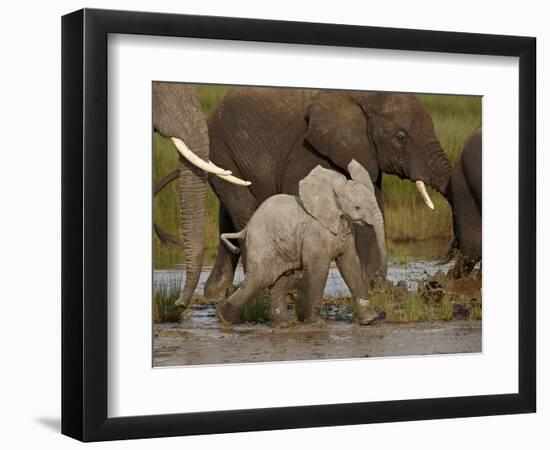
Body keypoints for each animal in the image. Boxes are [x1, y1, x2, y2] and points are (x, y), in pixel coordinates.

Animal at [203, 87, 452, 298]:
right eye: (401, 138)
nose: (442, 269)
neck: (364, 95)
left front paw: (373, 286)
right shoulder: (306, 149)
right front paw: (299, 288)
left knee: (228, 217)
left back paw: (215, 292)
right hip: (222, 149)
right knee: (244, 211)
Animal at [217, 161, 388, 326]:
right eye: (357, 207)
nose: (379, 277)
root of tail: (246, 228)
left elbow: (351, 266)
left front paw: (370, 320)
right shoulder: (314, 235)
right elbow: (319, 270)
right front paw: (316, 324)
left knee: (278, 280)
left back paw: (284, 324)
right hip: (262, 245)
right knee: (258, 279)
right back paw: (224, 318)